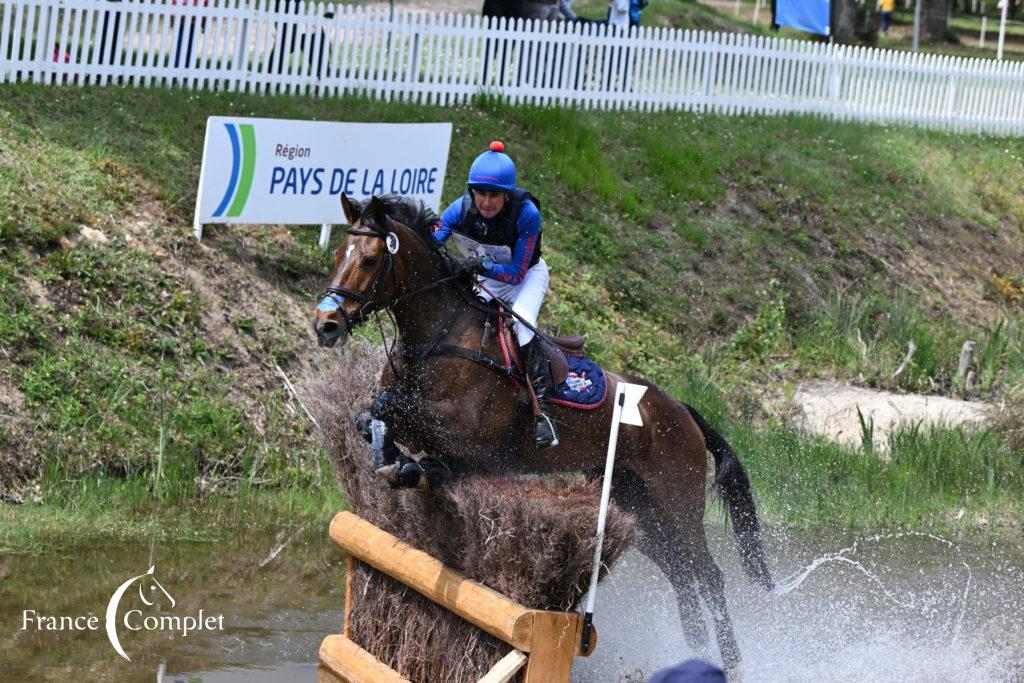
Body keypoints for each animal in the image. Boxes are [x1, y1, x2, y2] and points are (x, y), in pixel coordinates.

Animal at [307, 194, 770, 675]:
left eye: (370, 260)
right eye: (339, 255)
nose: (326, 324)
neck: (439, 334)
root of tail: (683, 411)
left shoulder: (468, 430)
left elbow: (392, 410)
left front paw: (409, 466)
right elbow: (371, 417)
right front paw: (399, 463)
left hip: (677, 504)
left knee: (708, 575)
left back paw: (732, 663)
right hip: (639, 511)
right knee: (682, 575)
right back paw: (695, 649)